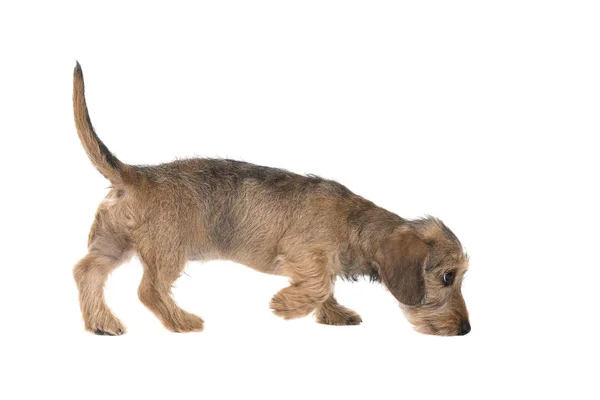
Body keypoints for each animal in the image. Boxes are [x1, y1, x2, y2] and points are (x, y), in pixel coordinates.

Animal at [72, 61, 472, 338]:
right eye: (448, 276)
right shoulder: (304, 254)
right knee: (149, 290)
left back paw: (101, 322)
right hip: (168, 251)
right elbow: (319, 284)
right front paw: (286, 305)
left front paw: (332, 313)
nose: (466, 329)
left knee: (86, 271)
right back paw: (180, 320)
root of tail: (135, 174)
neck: (354, 224)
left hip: (113, 242)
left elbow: (325, 287)